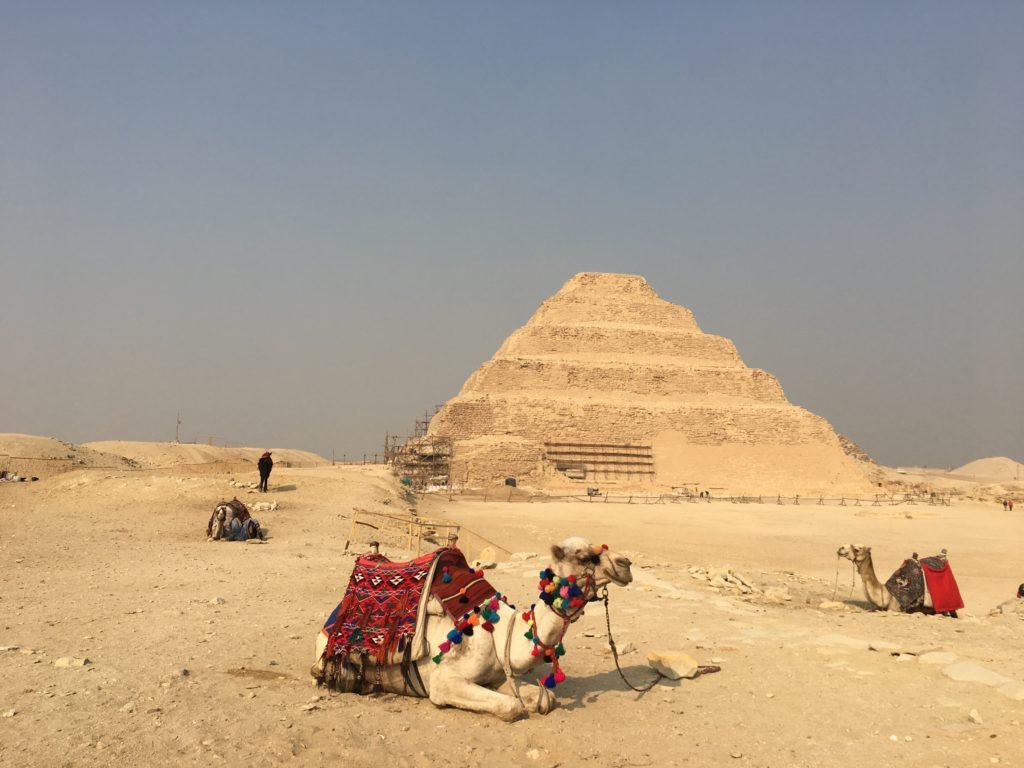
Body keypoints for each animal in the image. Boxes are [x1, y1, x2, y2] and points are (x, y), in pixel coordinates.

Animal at [309, 536, 630, 720]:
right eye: (585, 556)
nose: (626, 563)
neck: (500, 632)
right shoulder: (443, 681)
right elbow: (511, 707)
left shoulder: (498, 673)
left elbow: (544, 698)